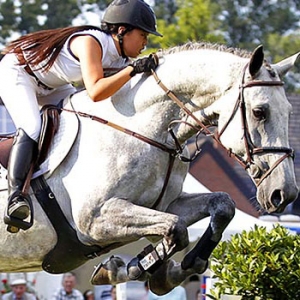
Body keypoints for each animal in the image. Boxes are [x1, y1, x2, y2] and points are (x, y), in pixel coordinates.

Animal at [0, 42, 298, 296]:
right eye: (260, 112)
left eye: (288, 111)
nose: (284, 194)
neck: (141, 129)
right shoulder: (94, 221)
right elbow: (176, 229)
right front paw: (134, 269)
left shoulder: (164, 205)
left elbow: (221, 206)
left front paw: (164, 270)